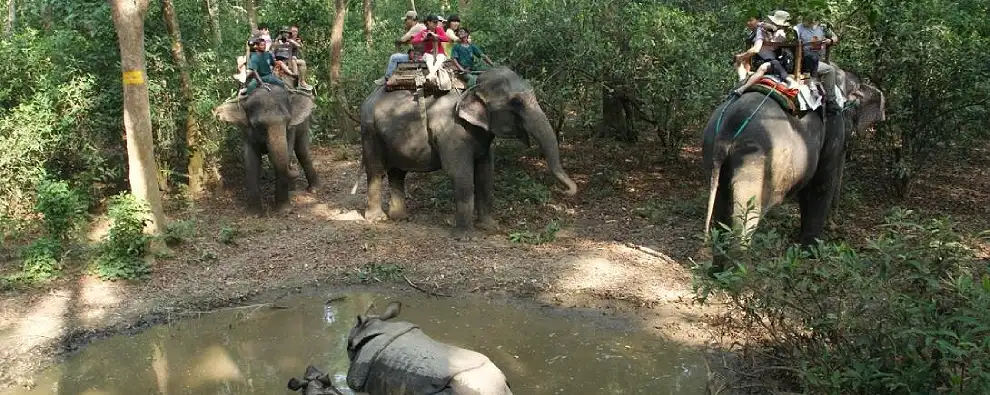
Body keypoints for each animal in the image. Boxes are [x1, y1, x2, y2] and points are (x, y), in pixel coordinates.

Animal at [215, 83, 320, 213]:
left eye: (288, 121)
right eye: (257, 125)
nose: (294, 167)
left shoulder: (291, 129)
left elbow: (287, 152)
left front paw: (284, 210)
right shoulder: (246, 131)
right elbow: (251, 161)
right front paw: (254, 213)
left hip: (304, 122)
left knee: (302, 151)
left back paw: (313, 189)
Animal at [358, 66, 576, 240]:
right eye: (516, 102)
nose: (566, 191)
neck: (473, 85)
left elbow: (486, 173)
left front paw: (490, 227)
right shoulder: (451, 129)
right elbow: (460, 172)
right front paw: (464, 238)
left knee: (398, 172)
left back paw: (400, 217)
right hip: (369, 131)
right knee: (376, 170)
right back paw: (377, 219)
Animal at [700, 66, 888, 268]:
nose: (834, 223)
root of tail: (725, 133)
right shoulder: (832, 130)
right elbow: (819, 185)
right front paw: (811, 252)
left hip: (713, 151)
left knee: (721, 206)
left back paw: (716, 270)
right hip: (755, 161)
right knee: (747, 213)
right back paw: (740, 272)